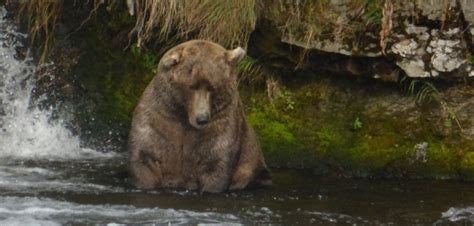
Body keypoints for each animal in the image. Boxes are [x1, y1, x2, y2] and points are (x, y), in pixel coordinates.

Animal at [129, 38, 270, 192]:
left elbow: (216, 161)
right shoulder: (159, 117)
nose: (202, 119)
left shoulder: (222, 121)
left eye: (212, 87)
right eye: (191, 86)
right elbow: (146, 156)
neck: (183, 115)